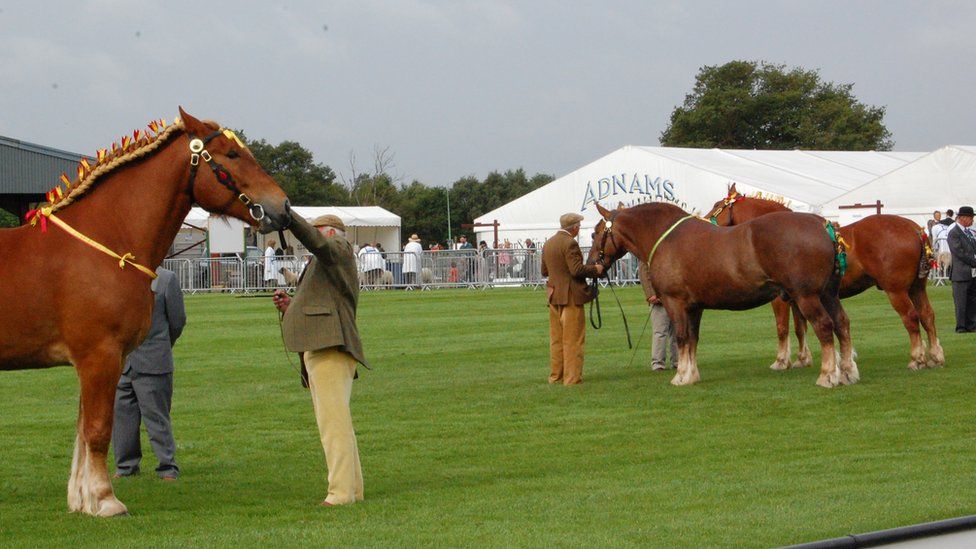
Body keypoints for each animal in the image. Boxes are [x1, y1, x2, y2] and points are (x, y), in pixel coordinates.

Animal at [0, 107, 290, 512]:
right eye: (232, 155)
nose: (284, 207)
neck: (103, 244)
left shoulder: (92, 361)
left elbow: (82, 431)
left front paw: (81, 500)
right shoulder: (100, 356)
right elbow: (98, 429)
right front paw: (104, 499)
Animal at [588, 201, 856, 386]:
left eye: (594, 233)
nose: (592, 265)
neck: (666, 238)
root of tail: (825, 226)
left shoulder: (675, 303)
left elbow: (682, 337)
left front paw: (680, 376)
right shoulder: (694, 307)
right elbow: (693, 339)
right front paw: (691, 375)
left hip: (807, 296)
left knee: (824, 326)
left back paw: (828, 376)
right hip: (828, 295)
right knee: (842, 324)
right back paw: (848, 372)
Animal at [704, 185, 940, 372]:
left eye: (717, 205)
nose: (704, 221)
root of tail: (915, 228)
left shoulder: (780, 300)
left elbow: (782, 328)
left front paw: (781, 361)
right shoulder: (797, 298)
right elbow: (800, 328)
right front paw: (803, 359)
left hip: (896, 290)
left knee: (911, 318)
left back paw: (917, 359)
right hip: (917, 288)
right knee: (927, 315)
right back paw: (935, 357)